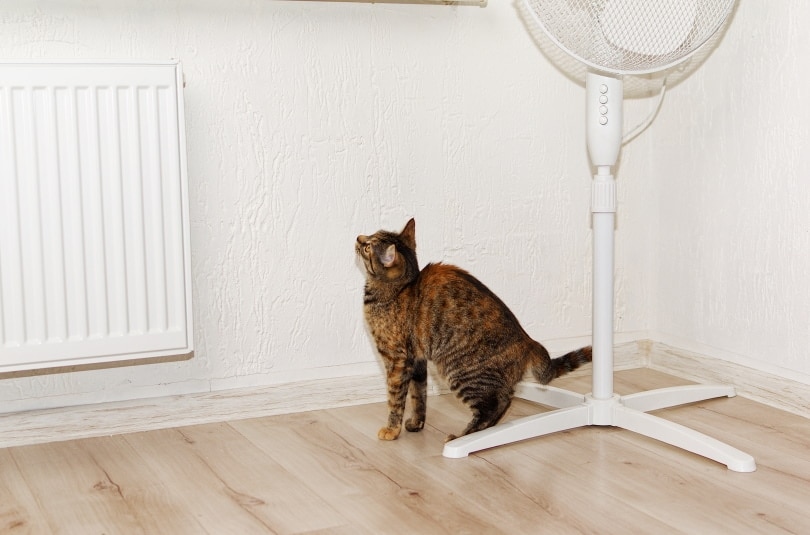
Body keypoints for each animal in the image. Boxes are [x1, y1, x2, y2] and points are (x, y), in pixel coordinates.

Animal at [356, 218, 592, 444]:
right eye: (370, 236)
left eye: (368, 247)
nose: (358, 237)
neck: (399, 288)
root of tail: (529, 342)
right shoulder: (417, 361)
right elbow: (419, 395)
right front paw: (416, 423)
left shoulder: (397, 360)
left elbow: (395, 399)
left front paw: (391, 430)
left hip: (459, 372)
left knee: (496, 404)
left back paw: (463, 436)